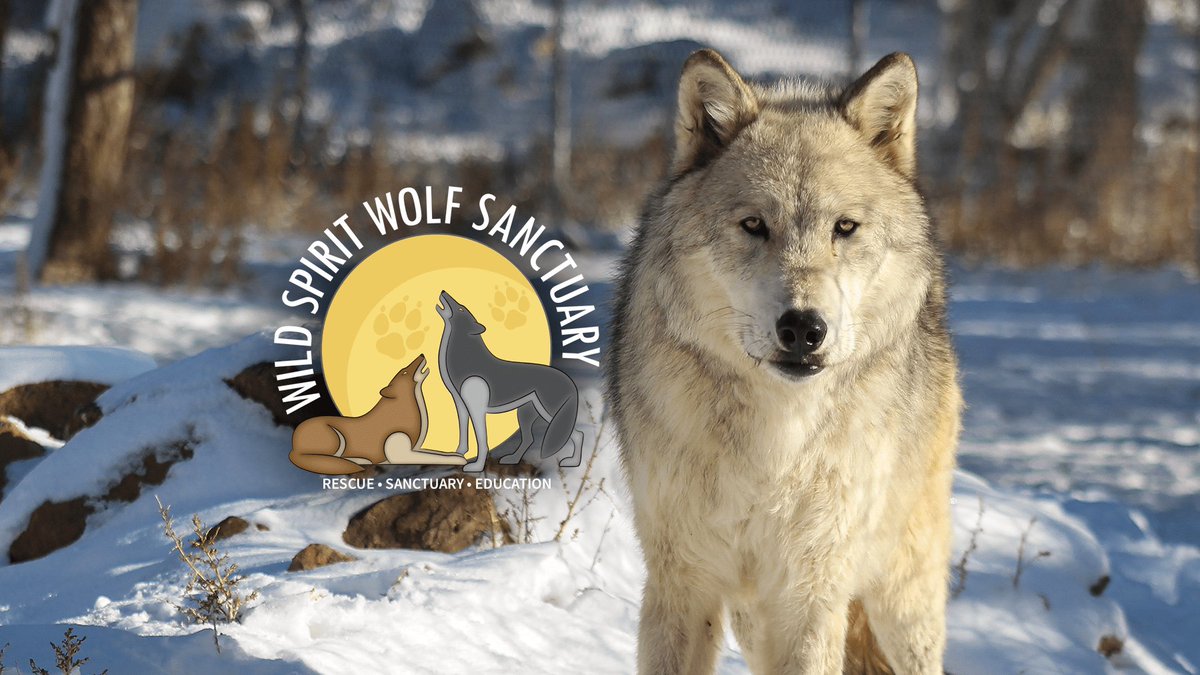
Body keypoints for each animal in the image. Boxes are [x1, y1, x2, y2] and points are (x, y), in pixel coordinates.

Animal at [436, 290, 584, 473]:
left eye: (461, 309)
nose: (443, 291)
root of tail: (570, 381)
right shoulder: (461, 404)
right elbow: (463, 436)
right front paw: (457, 456)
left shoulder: (477, 410)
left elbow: (482, 441)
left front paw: (477, 466)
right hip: (525, 415)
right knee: (530, 439)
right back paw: (512, 459)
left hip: (548, 414)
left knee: (577, 435)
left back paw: (572, 463)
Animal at [606, 50, 962, 674]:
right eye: (754, 225)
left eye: (844, 227)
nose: (803, 329)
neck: (776, 440)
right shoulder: (682, 584)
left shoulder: (812, 592)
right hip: (754, 617)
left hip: (902, 594)